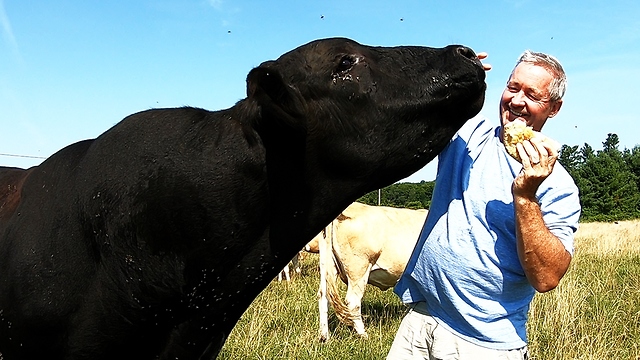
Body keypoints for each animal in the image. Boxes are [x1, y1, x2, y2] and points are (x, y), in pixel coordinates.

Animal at [312, 202, 428, 340]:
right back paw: (363, 335)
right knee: (352, 301)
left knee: (323, 296)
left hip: (329, 267)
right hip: (358, 268)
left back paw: (324, 336)